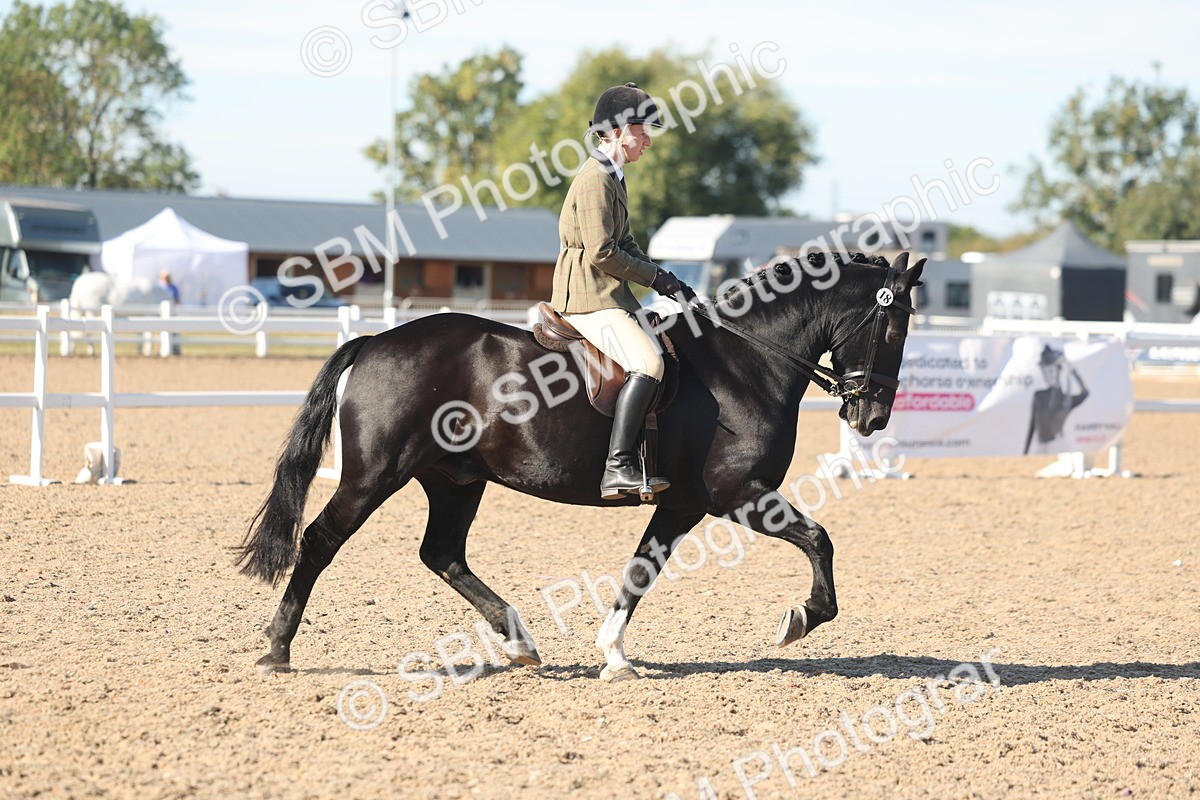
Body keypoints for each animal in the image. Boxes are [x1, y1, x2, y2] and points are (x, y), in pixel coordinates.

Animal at [236, 251, 925, 681]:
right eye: (894, 331)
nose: (873, 417)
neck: (747, 363)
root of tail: (377, 341)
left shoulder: (682, 503)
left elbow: (641, 571)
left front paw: (613, 655)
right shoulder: (736, 493)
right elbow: (819, 539)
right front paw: (799, 620)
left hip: (456, 480)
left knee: (443, 554)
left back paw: (520, 641)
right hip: (375, 474)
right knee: (320, 541)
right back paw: (276, 648)